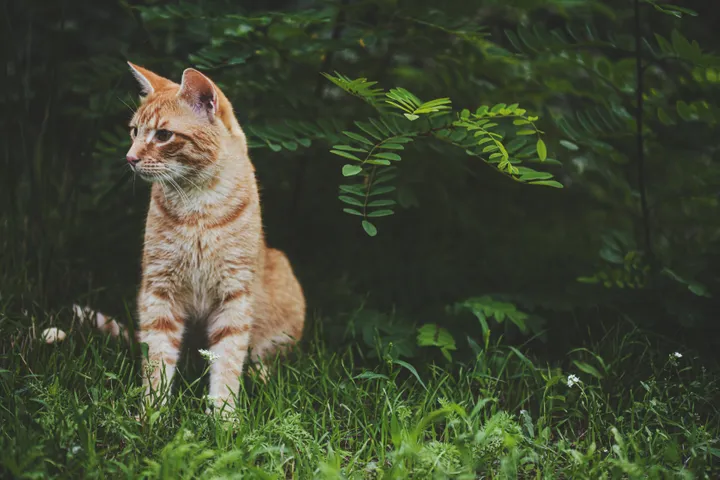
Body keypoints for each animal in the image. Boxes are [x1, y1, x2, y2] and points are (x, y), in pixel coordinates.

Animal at [117, 62, 306, 414]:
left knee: (263, 360)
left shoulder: (235, 295)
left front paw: (223, 416)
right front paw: (152, 414)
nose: (130, 158)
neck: (198, 206)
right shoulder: (159, 291)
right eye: (134, 131)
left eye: (163, 135)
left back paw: (260, 377)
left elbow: (228, 362)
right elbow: (157, 360)